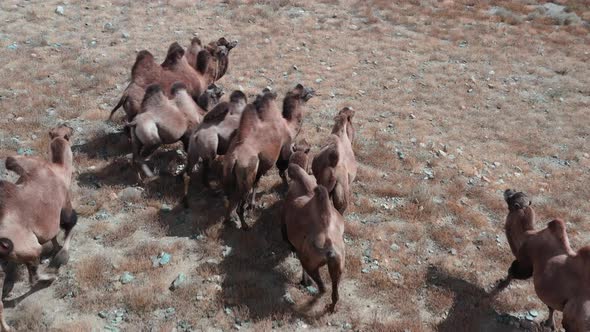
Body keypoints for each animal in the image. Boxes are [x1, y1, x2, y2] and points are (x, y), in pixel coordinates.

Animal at [0, 125, 77, 332]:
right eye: (68, 130)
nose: (71, 127)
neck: (60, 171)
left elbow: (54, 236)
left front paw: (56, 249)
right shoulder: (65, 206)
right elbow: (70, 226)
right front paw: (60, 257)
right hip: (27, 247)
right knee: (33, 275)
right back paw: (50, 277)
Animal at [222, 84, 314, 230]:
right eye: (304, 91)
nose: (313, 90)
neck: (288, 125)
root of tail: (234, 159)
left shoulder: (261, 165)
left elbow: (257, 183)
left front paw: (253, 205)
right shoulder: (284, 149)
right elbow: (282, 170)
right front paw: (286, 187)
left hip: (230, 173)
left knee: (231, 197)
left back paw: (230, 220)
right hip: (246, 172)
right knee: (240, 205)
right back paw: (245, 225)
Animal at [282, 156, 346, 312]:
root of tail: (330, 250)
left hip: (310, 261)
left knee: (322, 287)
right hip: (339, 264)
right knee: (335, 291)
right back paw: (331, 307)